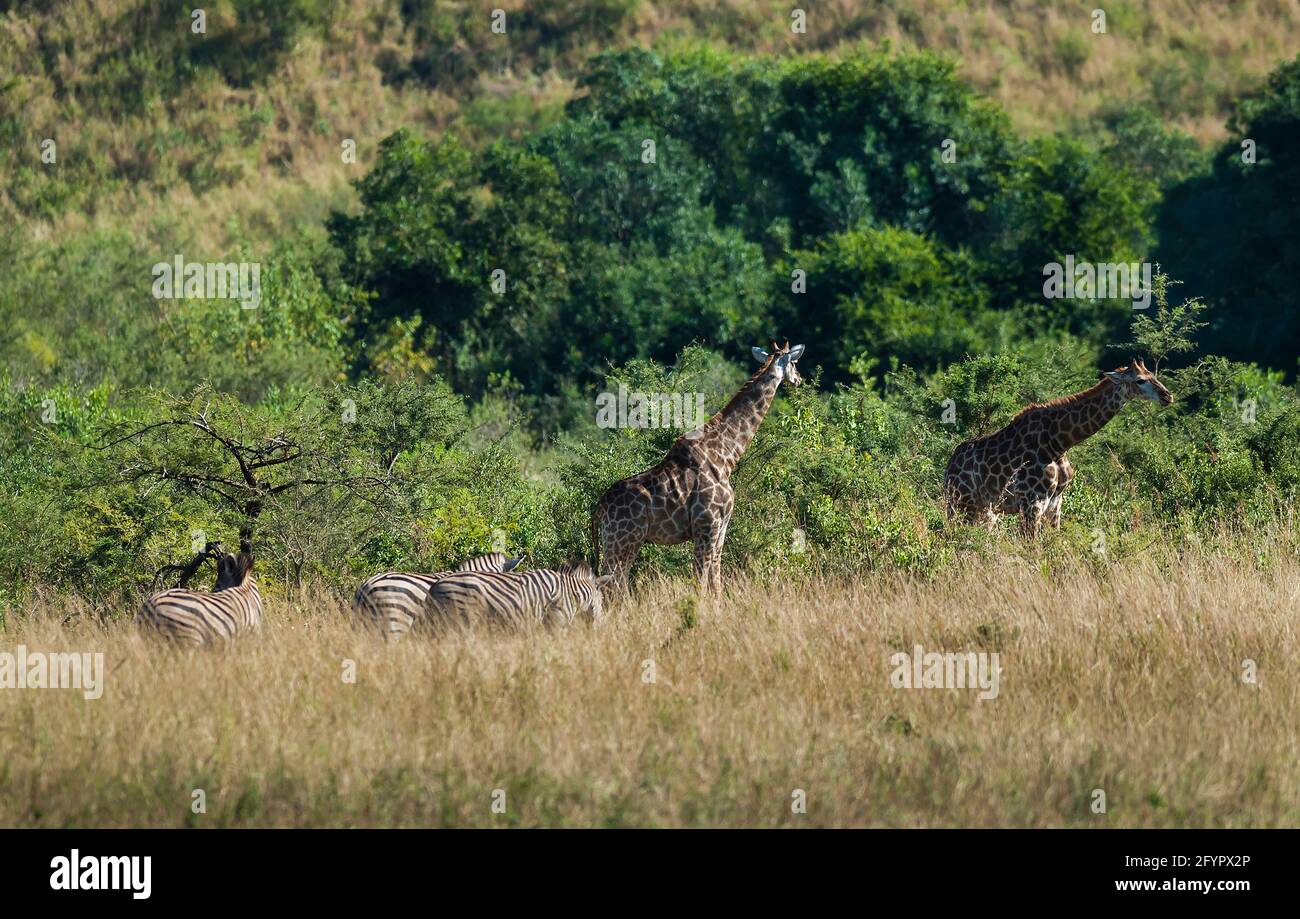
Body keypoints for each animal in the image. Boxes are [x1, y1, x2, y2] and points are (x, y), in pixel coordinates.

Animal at [421, 561, 613, 631]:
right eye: (602, 601)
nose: (603, 628)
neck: (571, 593)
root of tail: (434, 587)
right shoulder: (556, 622)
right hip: (461, 619)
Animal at [595, 340, 806, 592]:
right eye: (794, 362)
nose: (799, 379)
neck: (726, 456)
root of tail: (600, 507)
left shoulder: (721, 526)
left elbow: (715, 578)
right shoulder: (707, 523)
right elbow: (701, 579)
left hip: (614, 541)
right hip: (625, 540)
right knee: (613, 583)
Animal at [941, 356, 1175, 535]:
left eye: (1153, 375)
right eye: (1140, 380)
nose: (1167, 396)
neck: (1058, 443)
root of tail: (949, 468)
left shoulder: (1055, 502)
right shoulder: (1032, 502)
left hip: (985, 511)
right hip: (962, 504)